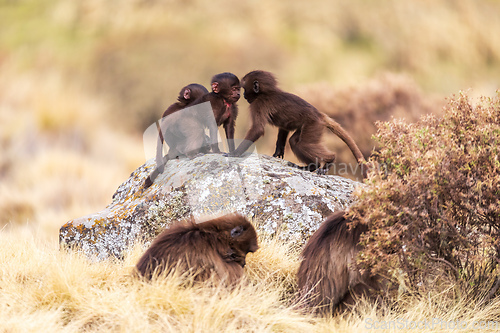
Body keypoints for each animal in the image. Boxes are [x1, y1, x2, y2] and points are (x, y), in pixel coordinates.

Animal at [227, 70, 368, 176]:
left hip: (313, 124)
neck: (267, 92)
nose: (243, 95)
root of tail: (319, 114)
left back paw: (329, 161)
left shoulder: (258, 104)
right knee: (294, 141)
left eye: (244, 88)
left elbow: (258, 129)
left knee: (304, 144)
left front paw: (234, 153)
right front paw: (278, 152)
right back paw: (311, 167)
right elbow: (283, 128)